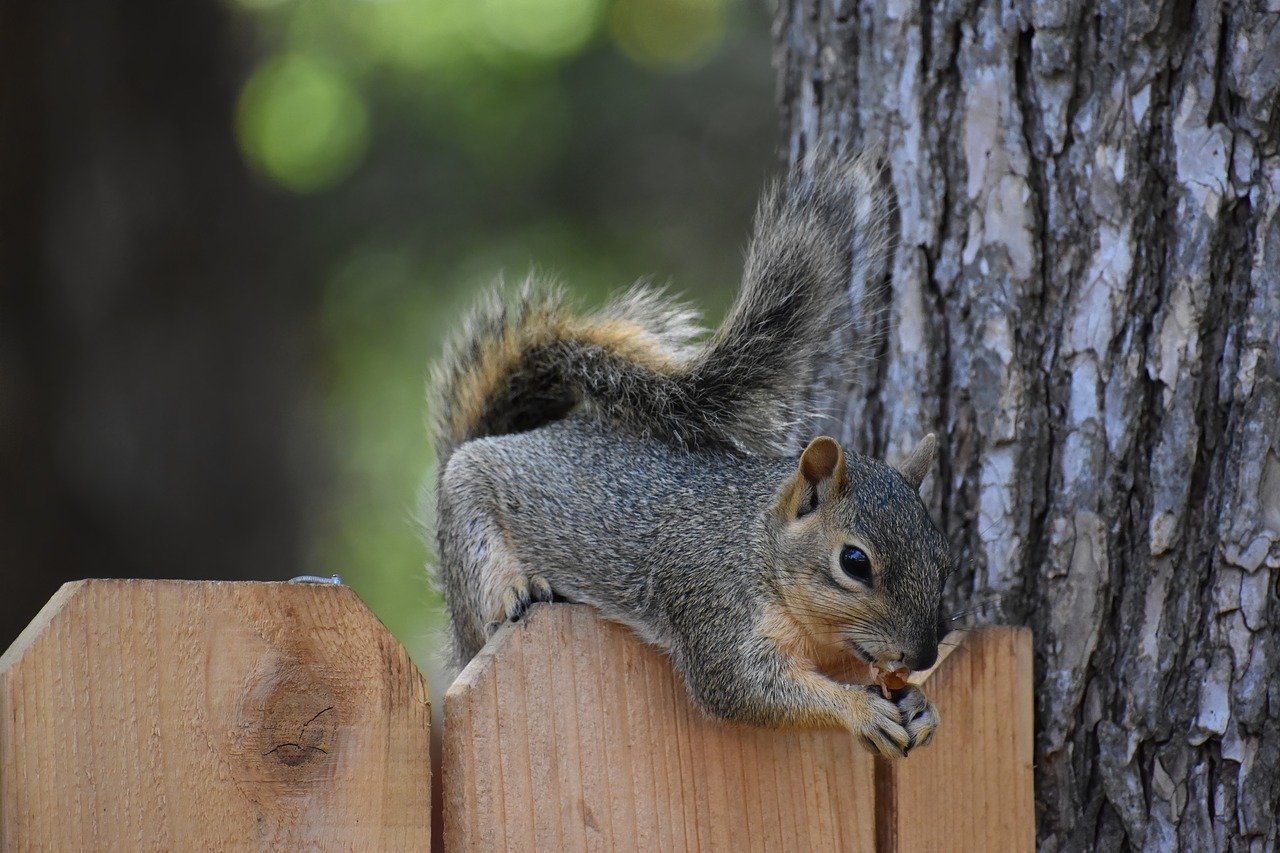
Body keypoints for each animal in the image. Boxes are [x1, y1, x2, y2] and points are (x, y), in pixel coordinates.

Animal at [427, 151, 952, 753]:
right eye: (854, 562)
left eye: (945, 560)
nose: (924, 656)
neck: (758, 545)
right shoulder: (713, 607)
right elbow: (743, 689)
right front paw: (861, 710)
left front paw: (921, 705)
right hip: (469, 517)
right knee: (484, 597)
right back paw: (519, 590)